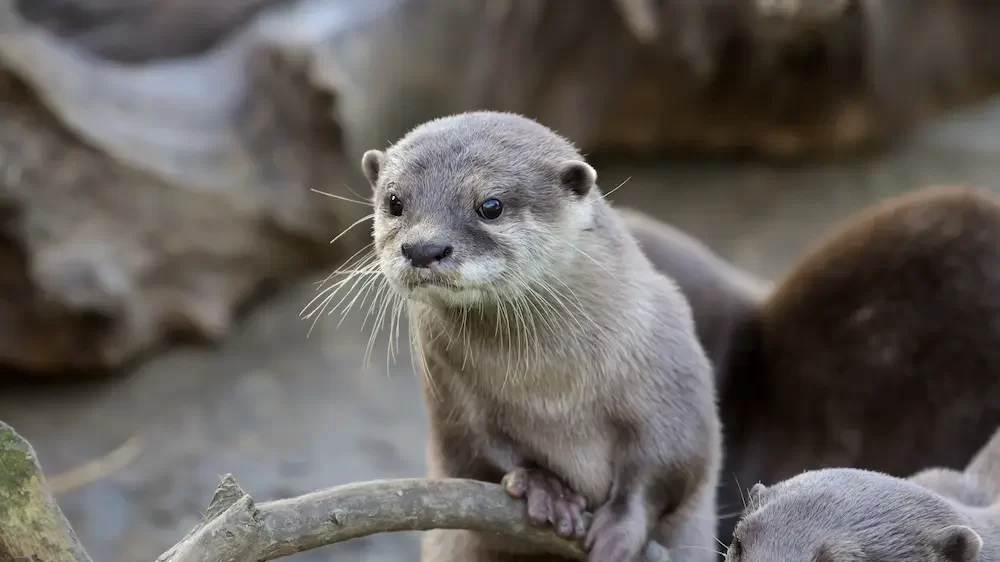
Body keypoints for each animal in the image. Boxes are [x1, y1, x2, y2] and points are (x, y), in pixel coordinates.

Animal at [360, 110, 720, 560]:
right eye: (394, 202)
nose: (424, 248)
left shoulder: (669, 365)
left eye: (490, 206)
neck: (553, 394)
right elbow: (475, 453)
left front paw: (620, 528)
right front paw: (544, 488)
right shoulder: (450, 391)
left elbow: (669, 466)